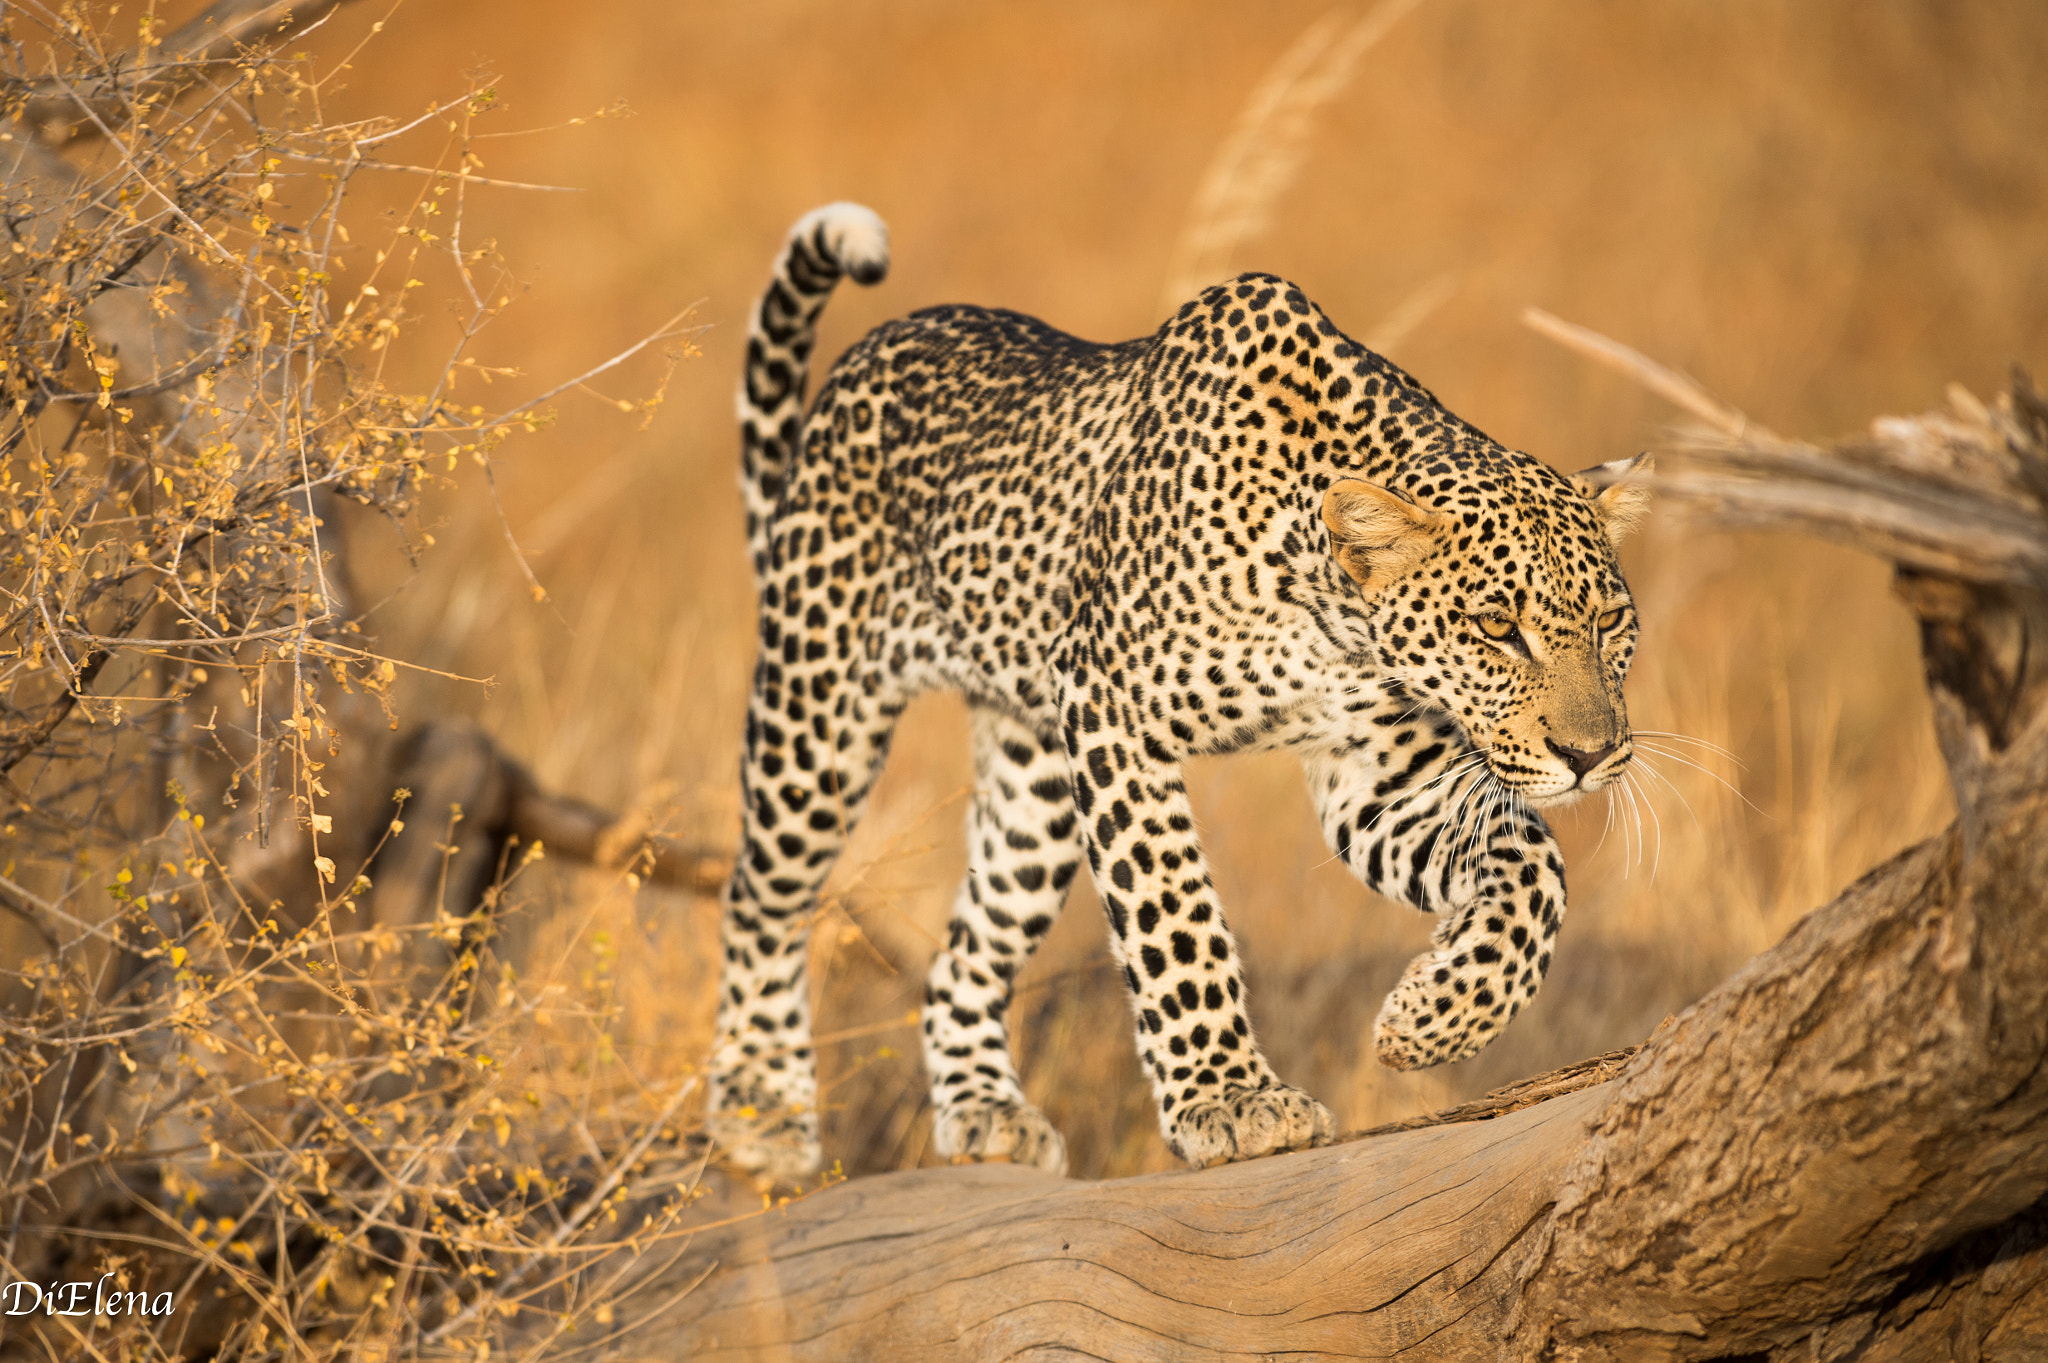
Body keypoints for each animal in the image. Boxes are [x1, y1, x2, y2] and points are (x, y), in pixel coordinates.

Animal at [706, 202, 1651, 1180]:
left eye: (1612, 621)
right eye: (1497, 624)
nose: (1592, 757)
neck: (1329, 602)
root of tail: (867, 354)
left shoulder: (1379, 774)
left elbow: (1535, 866)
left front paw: (1432, 1019)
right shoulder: (1115, 712)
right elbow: (1174, 912)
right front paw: (1231, 1098)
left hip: (1034, 793)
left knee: (963, 951)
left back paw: (985, 1109)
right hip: (818, 708)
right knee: (761, 893)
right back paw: (758, 1106)